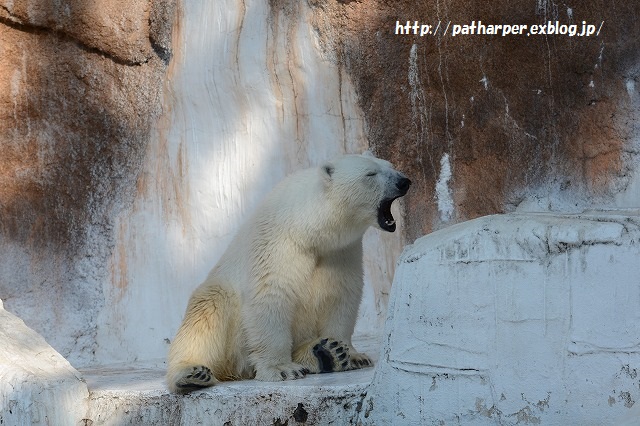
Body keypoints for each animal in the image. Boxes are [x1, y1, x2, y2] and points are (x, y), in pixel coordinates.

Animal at [166, 153, 410, 392]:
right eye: (371, 173)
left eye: (389, 165)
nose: (404, 181)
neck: (308, 228)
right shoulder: (278, 244)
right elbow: (272, 297)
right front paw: (282, 369)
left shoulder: (341, 252)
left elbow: (341, 298)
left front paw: (352, 355)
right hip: (224, 311)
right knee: (205, 315)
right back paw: (191, 374)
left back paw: (325, 353)